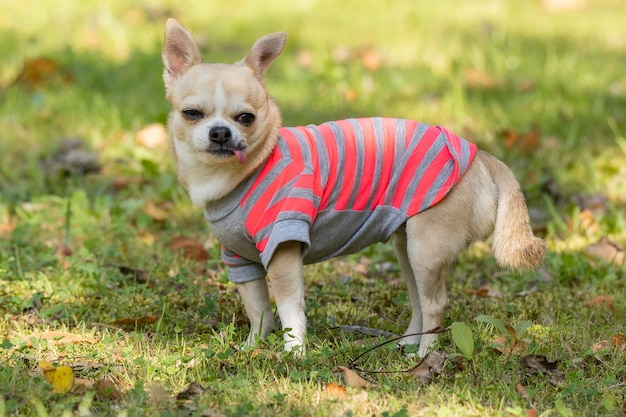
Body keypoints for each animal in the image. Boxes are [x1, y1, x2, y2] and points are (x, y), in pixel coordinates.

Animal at [163, 19, 544, 356]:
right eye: (192, 113)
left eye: (246, 118)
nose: (220, 133)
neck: (238, 174)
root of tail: (475, 153)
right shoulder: (238, 259)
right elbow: (258, 309)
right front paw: (252, 347)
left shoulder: (283, 249)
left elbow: (289, 310)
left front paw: (295, 353)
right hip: (408, 249)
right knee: (419, 300)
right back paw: (407, 345)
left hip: (427, 247)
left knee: (435, 303)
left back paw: (425, 354)